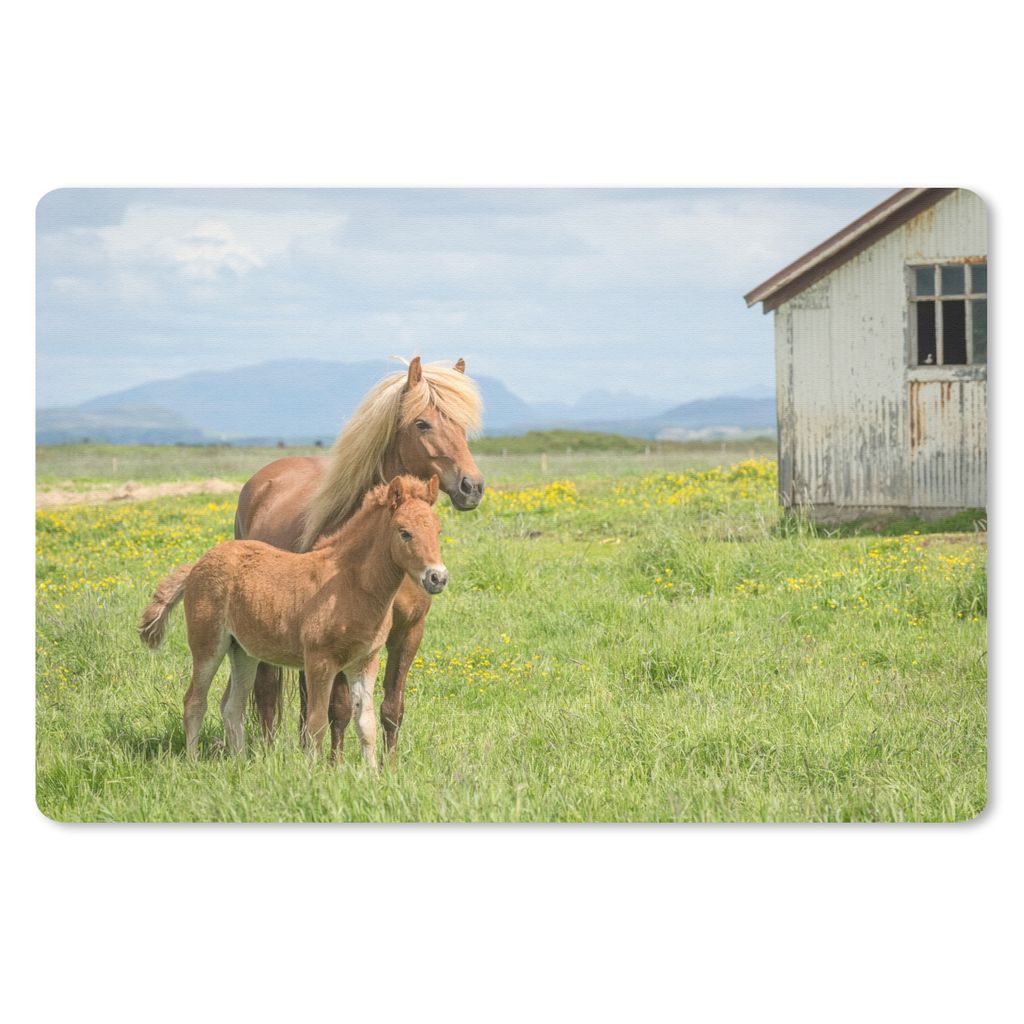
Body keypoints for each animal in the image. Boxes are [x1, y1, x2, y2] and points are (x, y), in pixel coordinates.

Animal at [140, 475, 447, 766]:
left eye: (438, 530)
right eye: (404, 533)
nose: (438, 577)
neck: (350, 584)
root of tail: (197, 564)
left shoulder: (364, 661)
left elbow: (365, 723)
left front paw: (371, 774)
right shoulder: (319, 661)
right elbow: (316, 723)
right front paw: (314, 773)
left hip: (243, 652)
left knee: (232, 706)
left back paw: (240, 764)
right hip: (208, 645)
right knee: (194, 701)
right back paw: (193, 762)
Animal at [230, 356, 484, 762]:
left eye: (461, 425)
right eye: (422, 423)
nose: (471, 487)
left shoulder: (408, 633)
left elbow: (391, 708)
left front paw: (391, 766)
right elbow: (340, 709)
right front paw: (335, 765)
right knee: (268, 691)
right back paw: (269, 754)